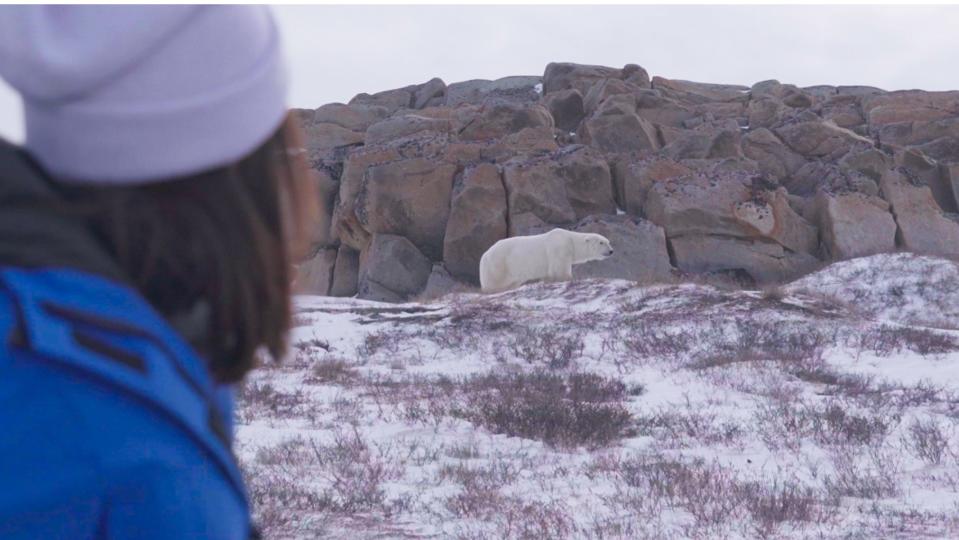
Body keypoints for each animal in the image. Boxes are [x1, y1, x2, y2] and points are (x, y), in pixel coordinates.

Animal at [480, 229, 616, 294]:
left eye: (608, 242)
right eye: (601, 242)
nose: (611, 251)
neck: (571, 240)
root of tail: (484, 255)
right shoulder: (560, 248)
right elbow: (560, 270)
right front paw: (568, 279)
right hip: (498, 263)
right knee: (495, 282)